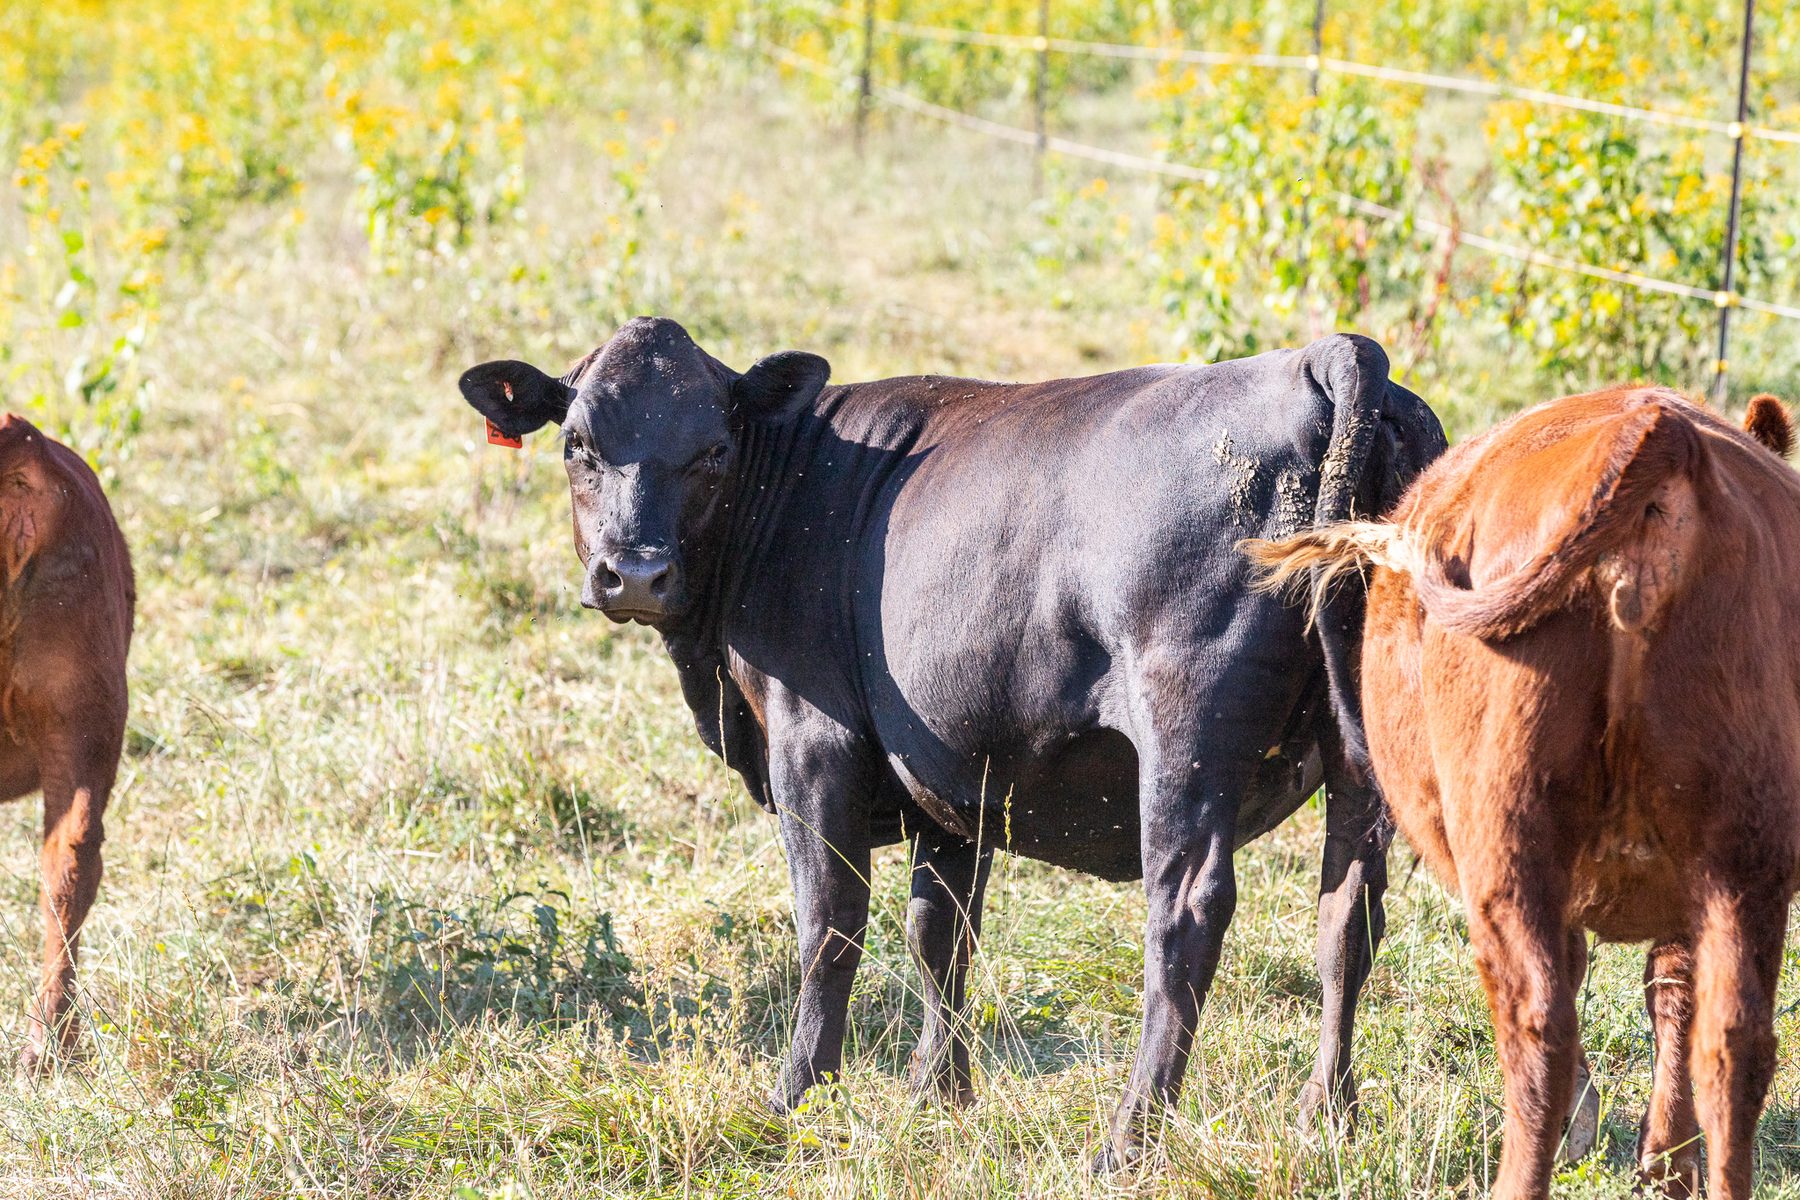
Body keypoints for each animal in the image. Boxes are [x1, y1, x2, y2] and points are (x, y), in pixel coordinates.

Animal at [459, 317, 1445, 1168]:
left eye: (712, 451)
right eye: (577, 445)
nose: (634, 572)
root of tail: (1325, 355)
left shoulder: (812, 743)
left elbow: (829, 926)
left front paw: (796, 1096)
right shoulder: (953, 769)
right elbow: (940, 932)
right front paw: (940, 1094)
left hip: (1185, 734)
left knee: (1187, 917)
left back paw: (1127, 1140)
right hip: (1365, 757)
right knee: (1347, 920)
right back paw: (1329, 1117)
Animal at [1247, 389, 1800, 1199]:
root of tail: (1661, 430)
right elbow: (1674, 989)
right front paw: (1666, 1163)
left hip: (1508, 842)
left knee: (1538, 1025)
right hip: (1747, 851)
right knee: (1735, 1042)